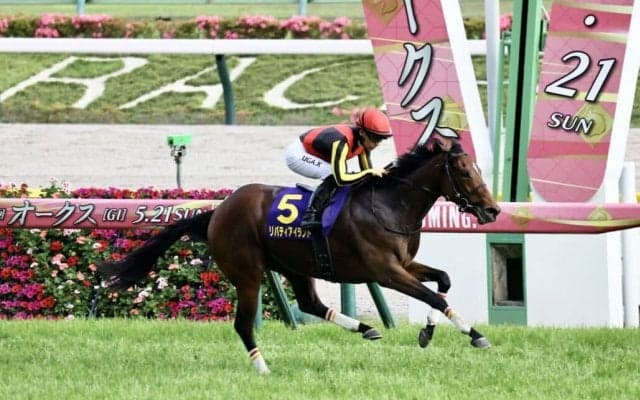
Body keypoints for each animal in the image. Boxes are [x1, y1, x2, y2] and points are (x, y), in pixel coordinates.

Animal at [99, 133, 500, 374]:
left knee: (309, 303)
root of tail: (218, 211)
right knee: (244, 323)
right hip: (248, 273)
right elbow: (434, 295)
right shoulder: (386, 272)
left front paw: (431, 332)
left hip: (294, 265)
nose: (493, 210)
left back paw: (366, 328)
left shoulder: (404, 264)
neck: (389, 205)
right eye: (464, 172)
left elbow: (443, 282)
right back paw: (263, 367)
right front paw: (474, 335)